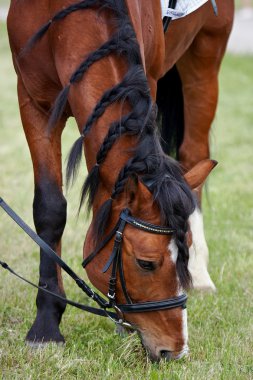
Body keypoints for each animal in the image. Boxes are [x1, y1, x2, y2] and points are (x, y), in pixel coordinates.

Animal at [6, 0, 233, 360]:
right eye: (146, 263)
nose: (175, 350)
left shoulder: (147, 78)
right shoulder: (33, 101)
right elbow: (50, 209)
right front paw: (46, 325)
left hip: (207, 51)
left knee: (193, 152)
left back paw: (200, 276)